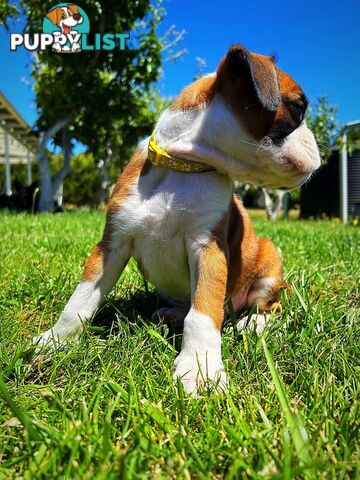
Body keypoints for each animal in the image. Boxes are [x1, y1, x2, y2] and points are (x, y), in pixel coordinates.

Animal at [34, 45, 320, 394]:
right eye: (298, 109)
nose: (317, 146)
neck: (182, 166)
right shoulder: (111, 246)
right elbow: (81, 297)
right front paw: (56, 339)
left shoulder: (209, 249)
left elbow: (203, 311)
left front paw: (201, 366)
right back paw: (172, 314)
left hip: (269, 259)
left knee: (270, 307)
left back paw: (252, 323)